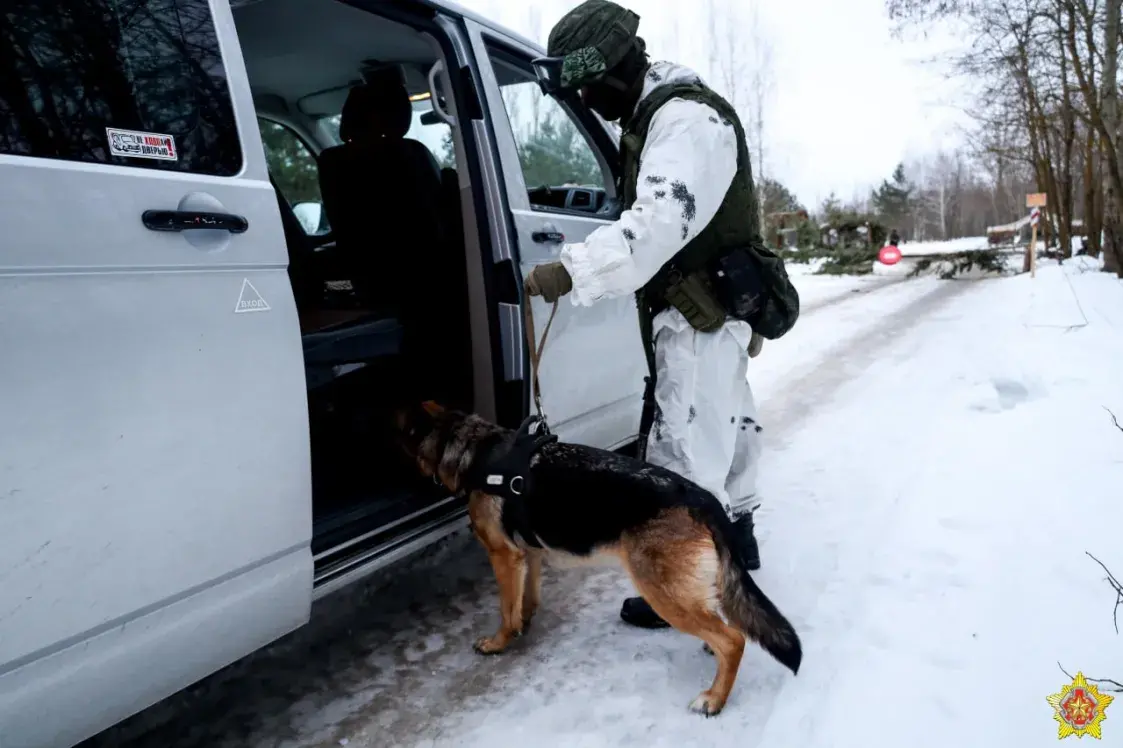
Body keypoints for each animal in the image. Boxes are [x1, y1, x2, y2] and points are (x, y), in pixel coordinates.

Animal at [395, 399, 799, 714]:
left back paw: (714, 699)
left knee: (734, 640)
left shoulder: (503, 556)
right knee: (722, 625)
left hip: (663, 592)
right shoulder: (529, 555)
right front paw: (525, 623)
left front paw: (499, 642)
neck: (474, 448)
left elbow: (506, 608)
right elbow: (527, 598)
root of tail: (703, 499)